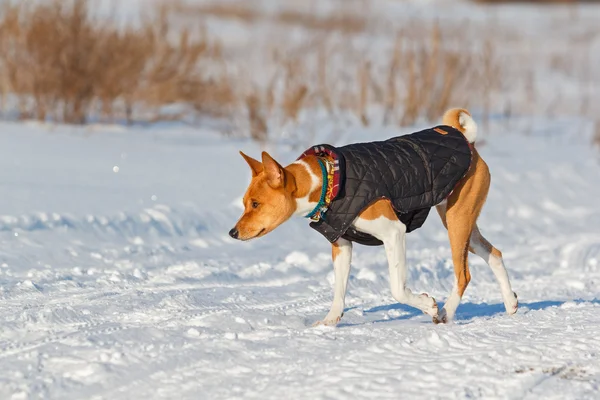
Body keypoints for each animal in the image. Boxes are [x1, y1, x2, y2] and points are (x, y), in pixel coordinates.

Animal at [227, 108, 516, 324]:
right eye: (244, 203)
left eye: (255, 204)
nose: (233, 232)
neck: (328, 180)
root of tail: (467, 141)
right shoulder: (341, 243)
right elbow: (339, 291)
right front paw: (329, 323)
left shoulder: (394, 232)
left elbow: (397, 288)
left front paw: (428, 305)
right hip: (463, 224)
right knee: (494, 254)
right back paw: (511, 303)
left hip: (457, 222)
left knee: (463, 275)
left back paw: (445, 313)